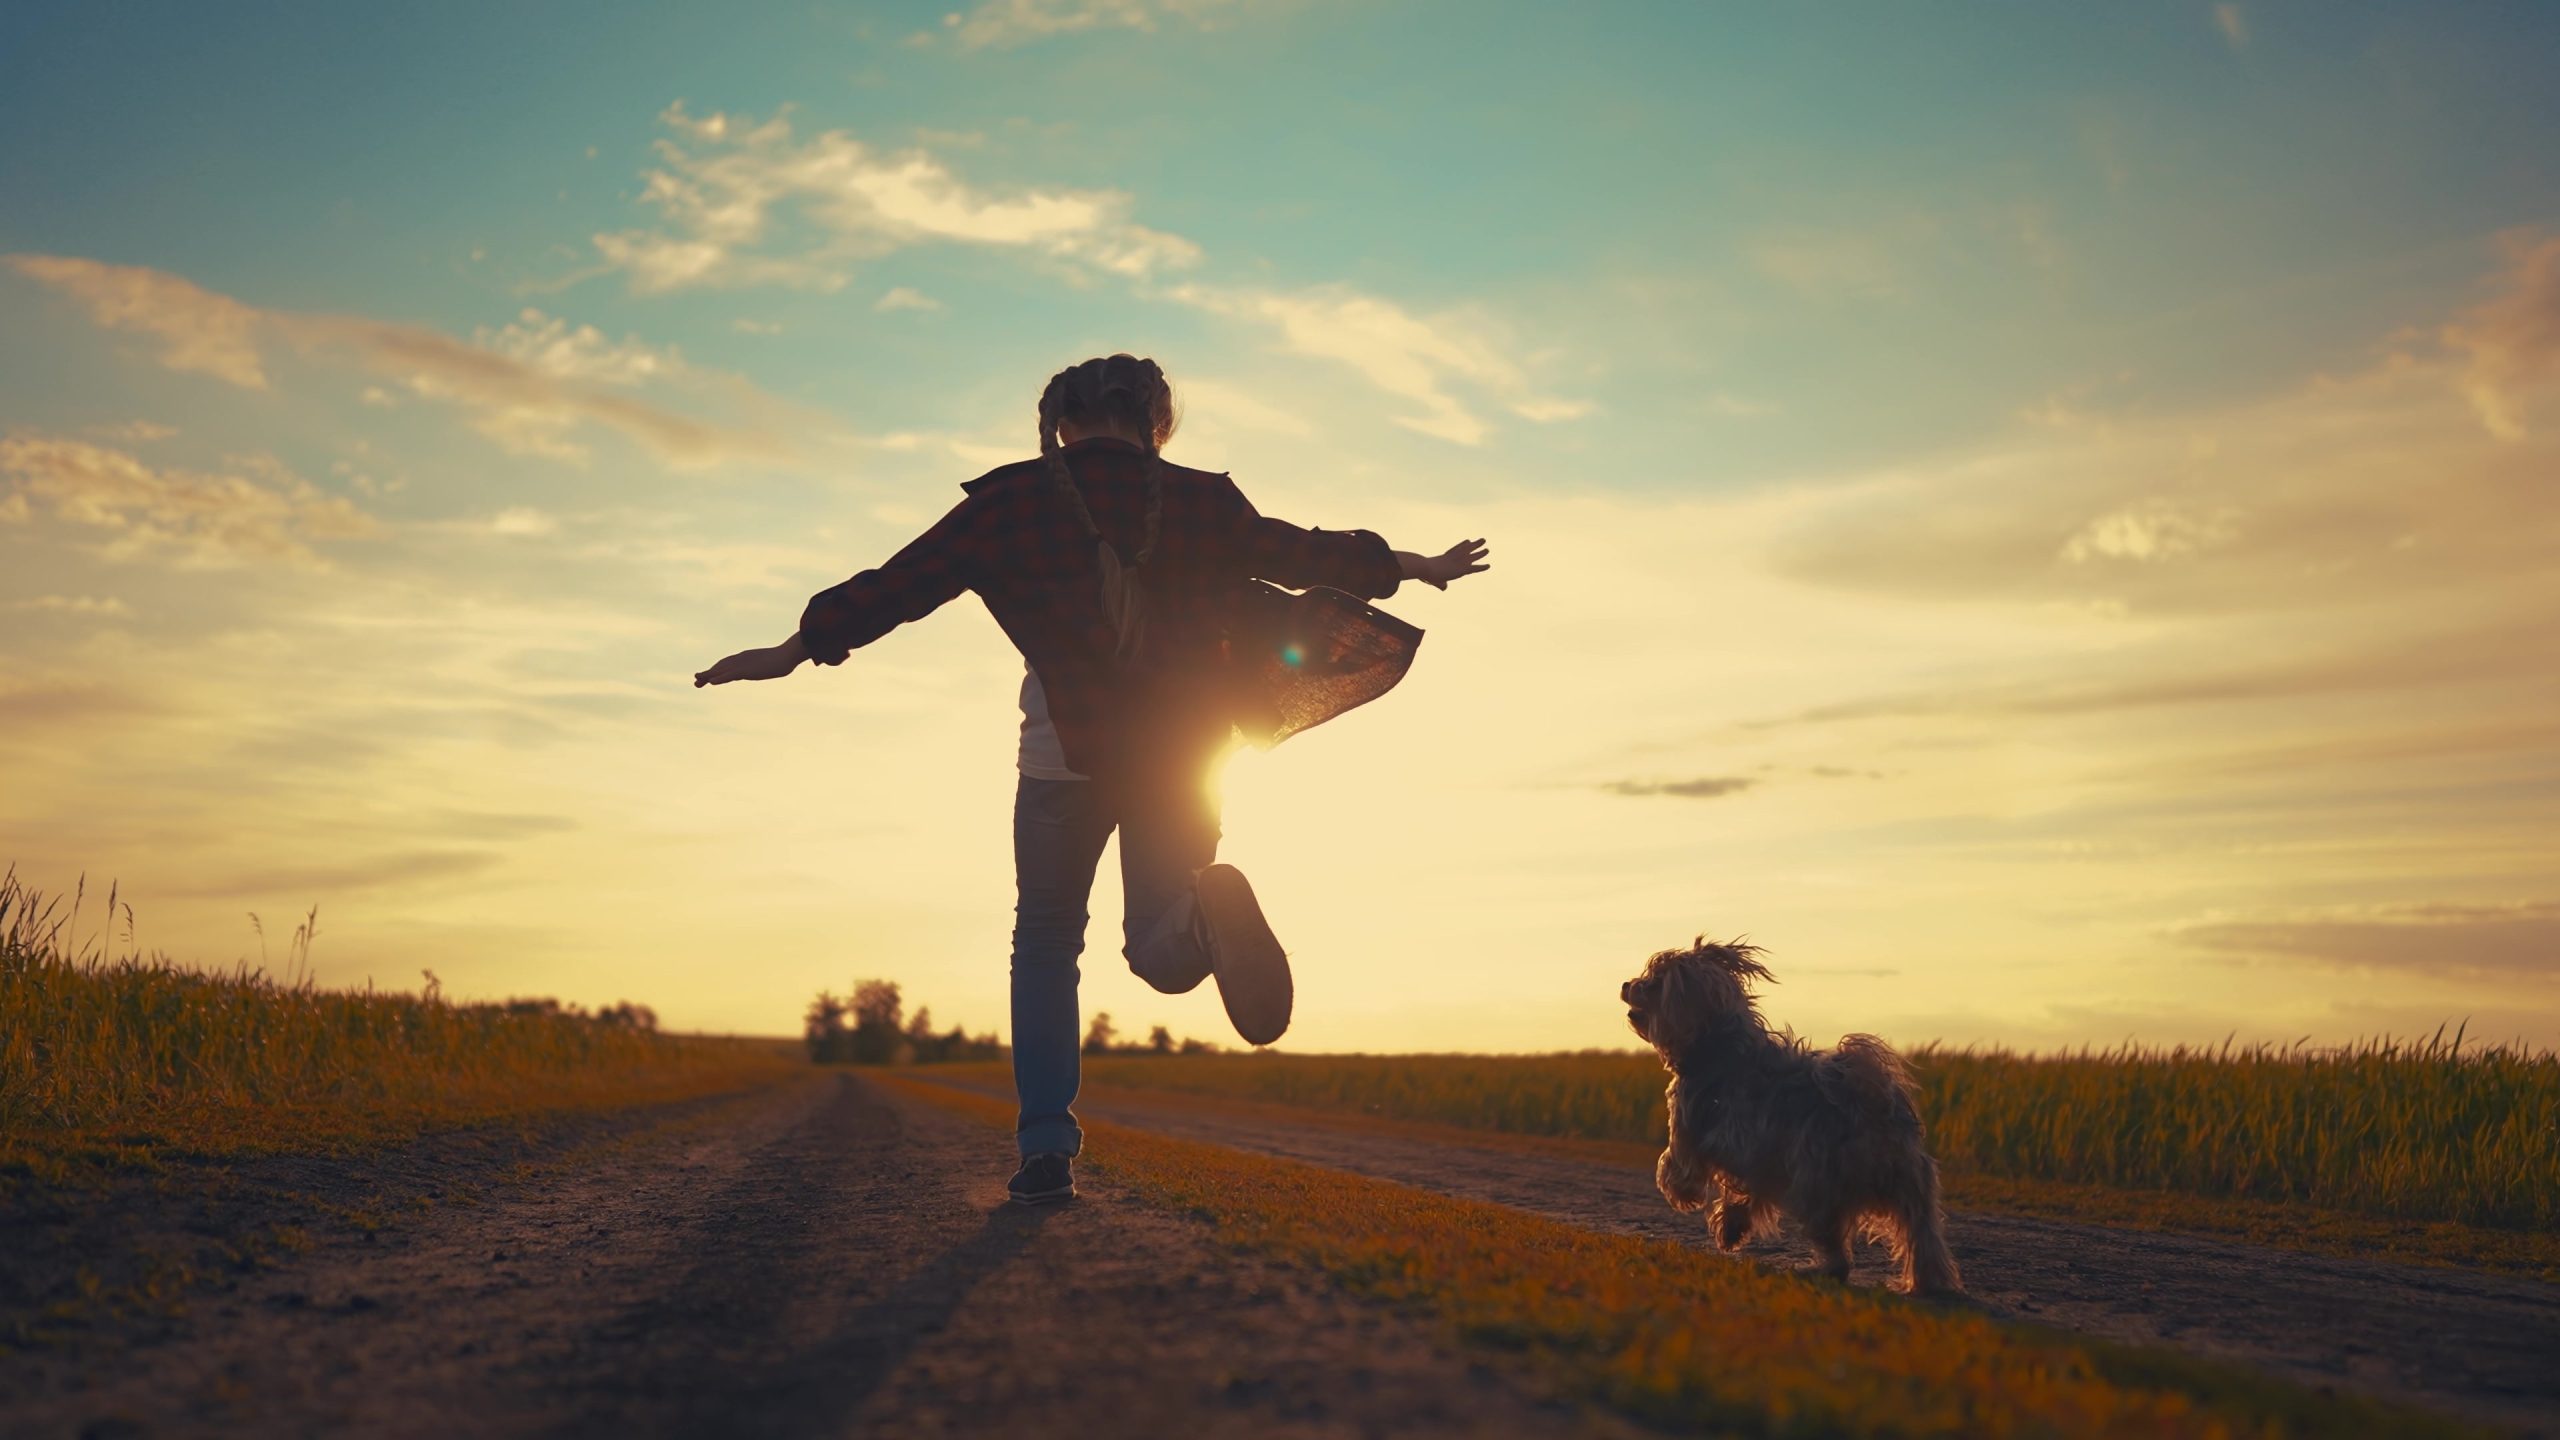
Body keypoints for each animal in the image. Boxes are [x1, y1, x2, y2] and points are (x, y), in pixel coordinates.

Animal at [1617, 937, 1955, 1296]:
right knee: (1924, 1239)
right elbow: (1742, 1195)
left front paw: (1682, 1194)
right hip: (1912, 1187)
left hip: (1817, 1189)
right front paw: (1731, 1229)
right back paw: (1930, 1284)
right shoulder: (1755, 1159)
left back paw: (1817, 1270)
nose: (1625, 984)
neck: (1714, 1042)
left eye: (1652, 982)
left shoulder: (1689, 1127)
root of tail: (1871, 1107)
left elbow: (1676, 1165)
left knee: (1837, 1254)